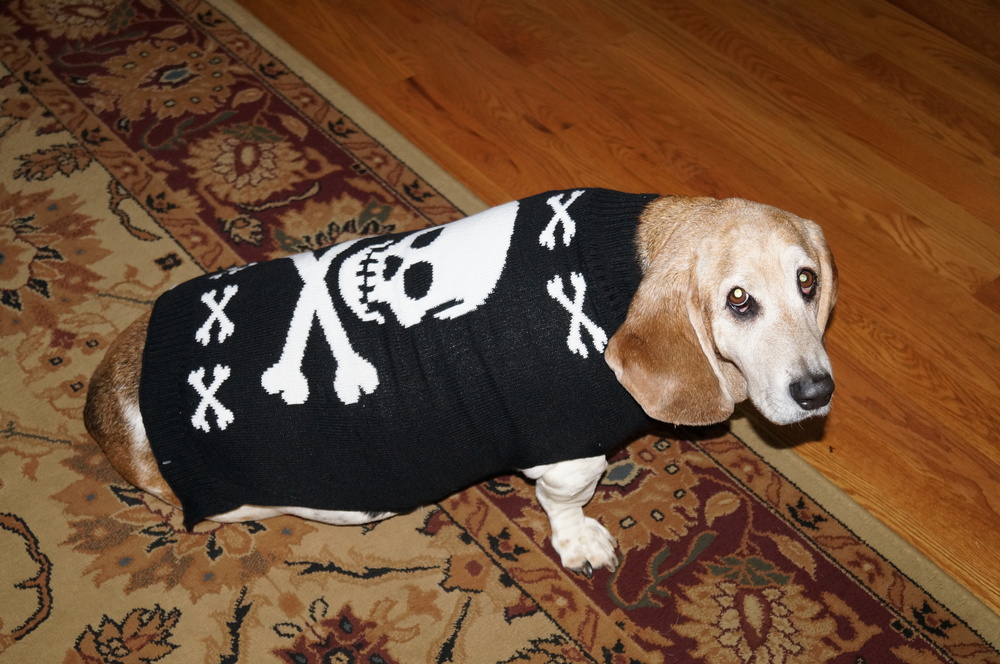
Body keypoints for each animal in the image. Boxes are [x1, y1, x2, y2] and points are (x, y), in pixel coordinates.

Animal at [84, 187, 836, 576]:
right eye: (737, 300)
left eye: (807, 281)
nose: (817, 393)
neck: (626, 262)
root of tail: (110, 407)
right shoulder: (567, 456)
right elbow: (569, 502)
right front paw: (581, 542)